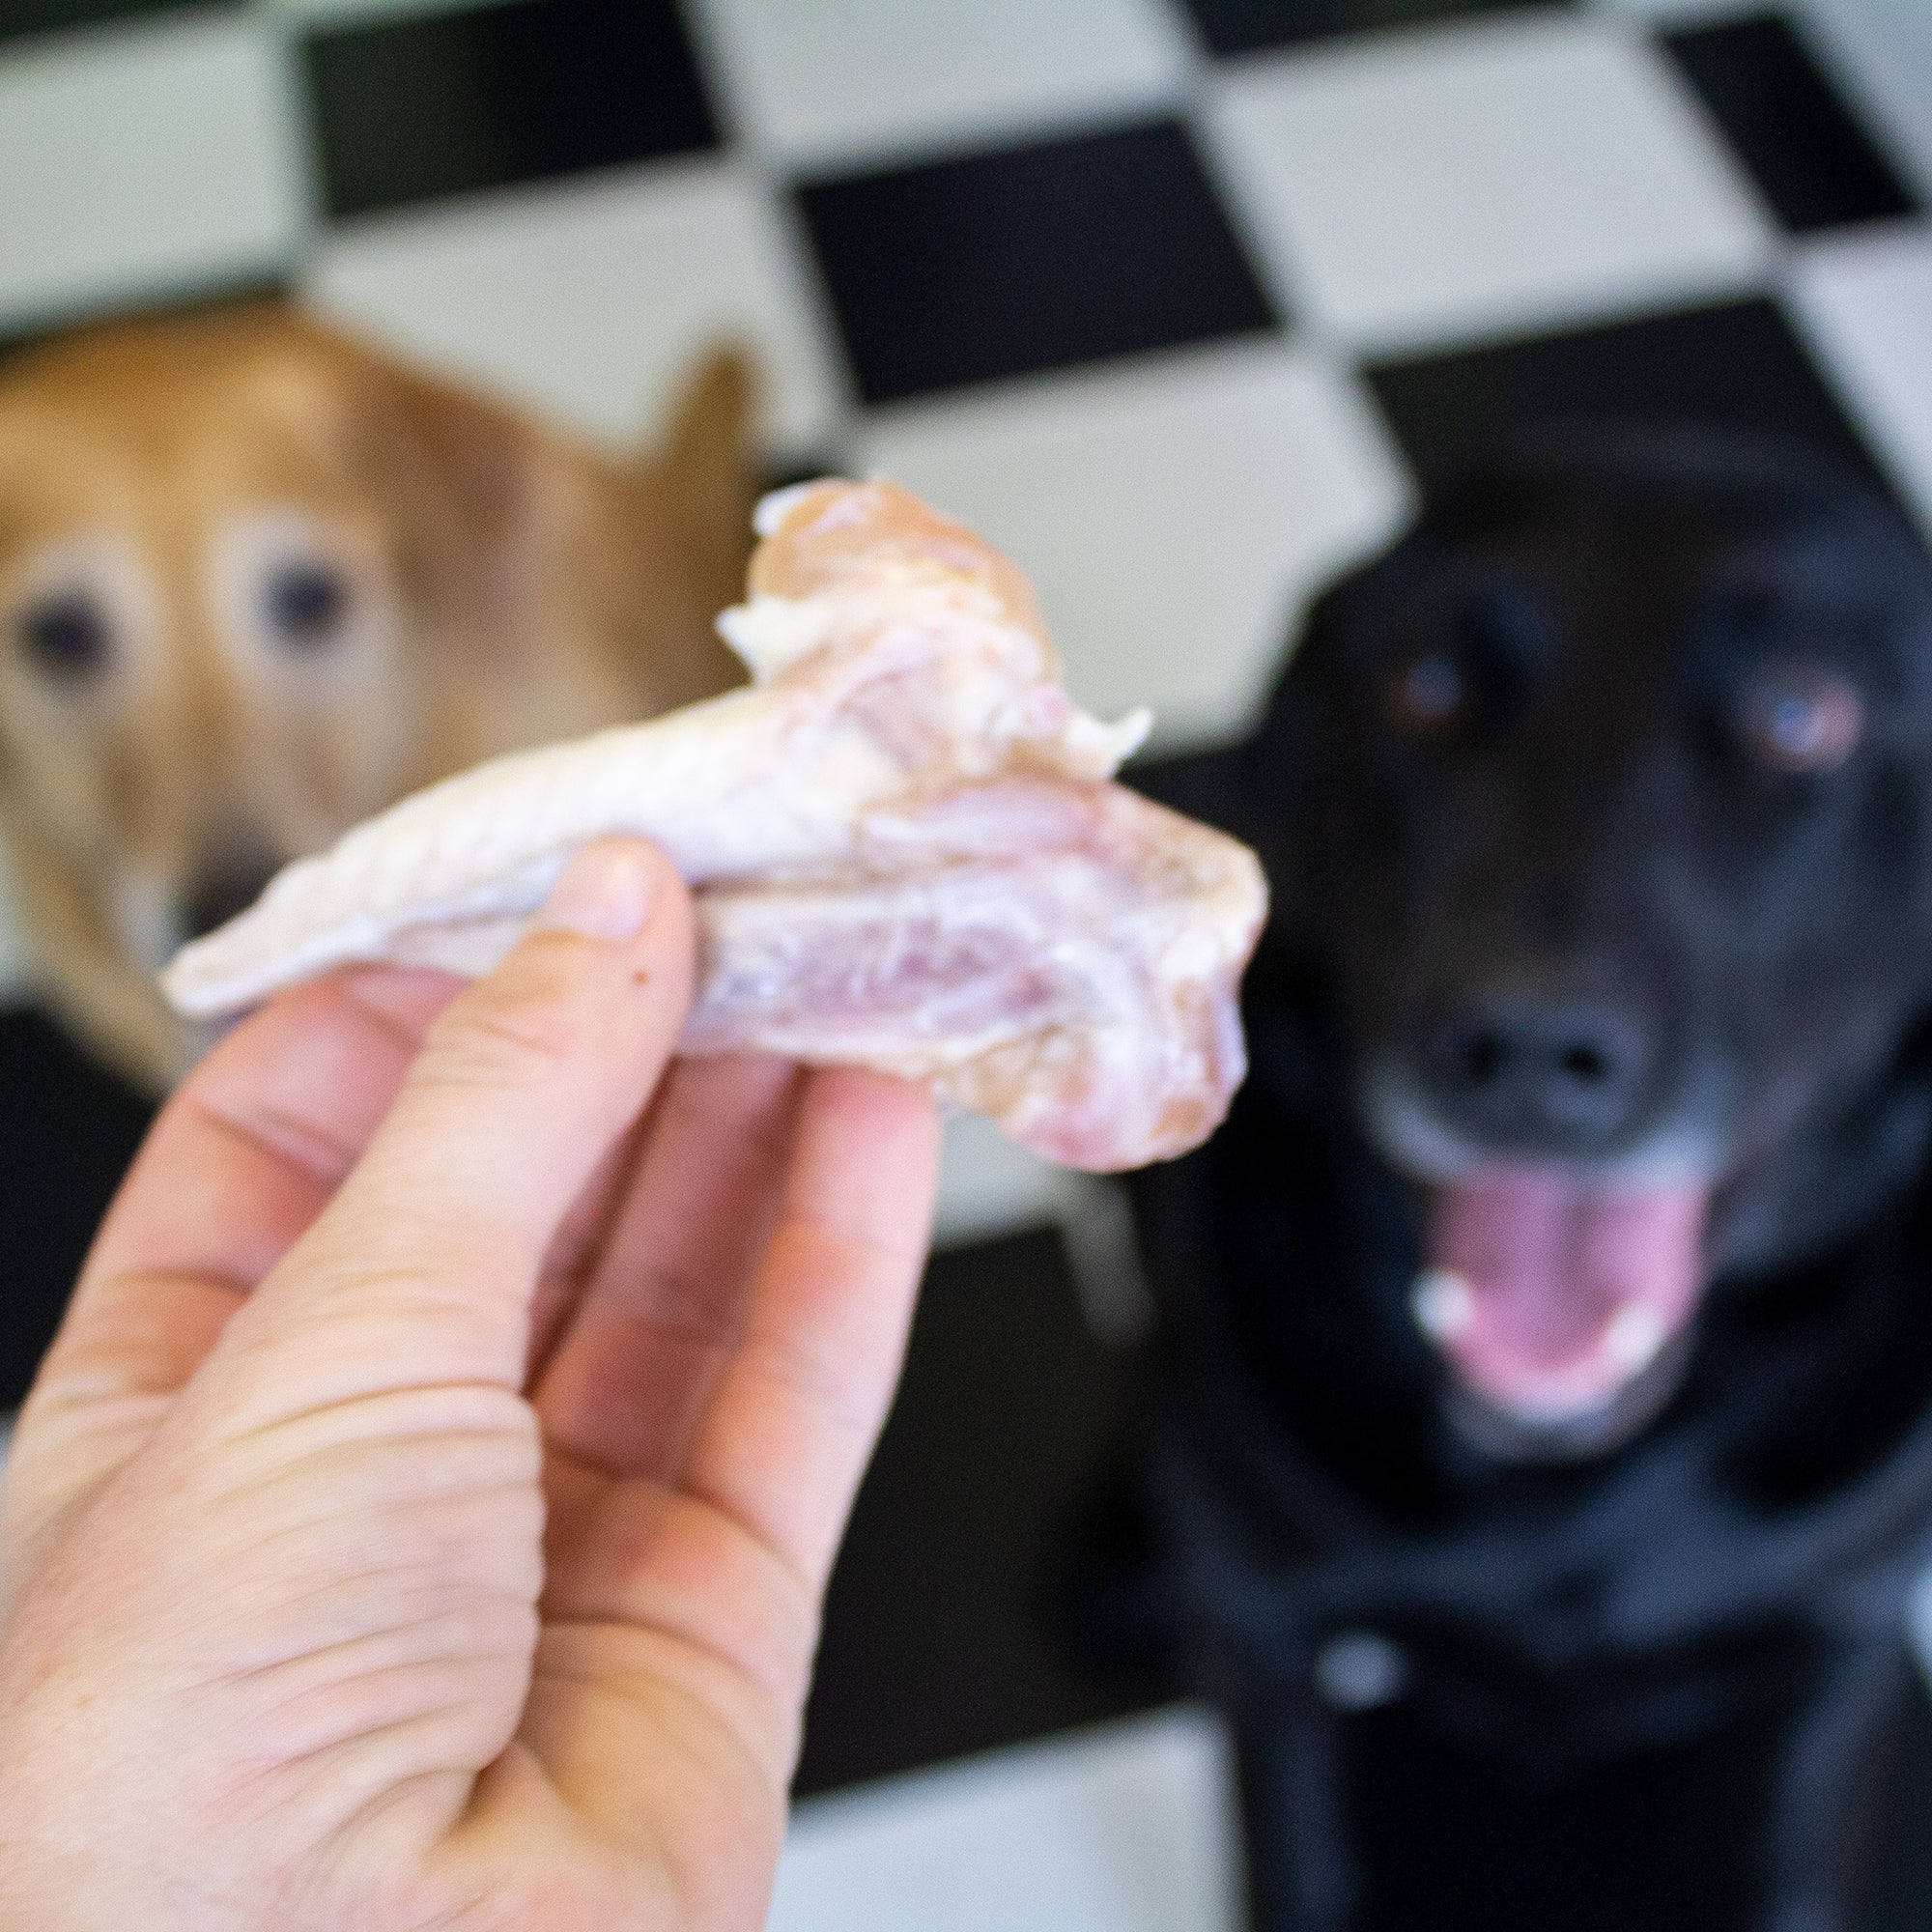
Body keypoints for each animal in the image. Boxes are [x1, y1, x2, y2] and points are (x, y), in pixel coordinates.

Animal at [1128, 431, 1932, 1932]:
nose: (1524, 1053)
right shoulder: (1264, 1641)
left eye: (1801, 714)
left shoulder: (1842, 1638)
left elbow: (1797, 1870)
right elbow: (1295, 1863)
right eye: (1427, 689)